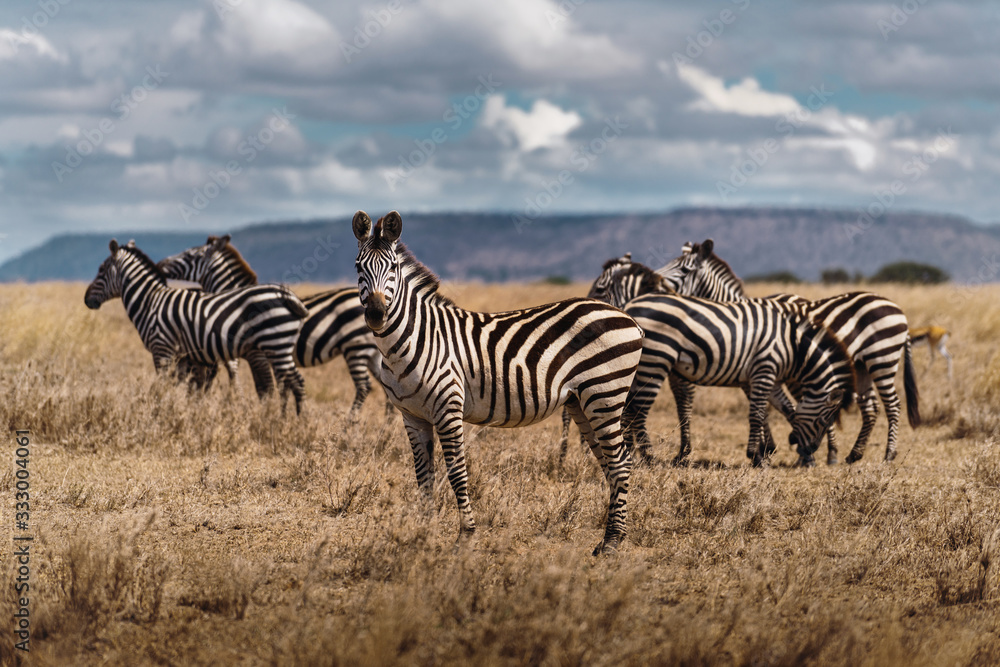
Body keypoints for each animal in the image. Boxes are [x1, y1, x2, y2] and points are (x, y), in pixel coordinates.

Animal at [84, 237, 306, 414]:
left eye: (101, 270)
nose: (86, 299)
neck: (150, 302)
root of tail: (286, 294)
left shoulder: (162, 349)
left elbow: (162, 387)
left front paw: (158, 414)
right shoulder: (183, 356)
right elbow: (183, 388)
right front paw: (180, 413)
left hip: (275, 344)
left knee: (295, 382)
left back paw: (295, 423)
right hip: (276, 347)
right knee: (286, 383)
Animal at [158, 236, 388, 422]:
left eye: (190, 255)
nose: (159, 263)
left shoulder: (258, 354)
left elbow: (264, 387)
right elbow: (280, 387)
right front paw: (281, 416)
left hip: (355, 348)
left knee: (364, 386)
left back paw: (349, 423)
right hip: (373, 352)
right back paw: (387, 426)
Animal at [356, 211, 644, 556]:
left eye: (394, 269)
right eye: (358, 267)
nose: (376, 313)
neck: (414, 339)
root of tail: (626, 317)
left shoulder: (448, 408)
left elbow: (457, 472)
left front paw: (465, 536)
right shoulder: (411, 416)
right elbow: (423, 475)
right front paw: (422, 535)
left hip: (605, 393)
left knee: (621, 462)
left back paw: (613, 540)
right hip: (583, 402)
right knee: (610, 463)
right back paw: (609, 538)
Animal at [624, 294, 852, 468]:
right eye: (823, 421)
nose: (809, 448)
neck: (793, 348)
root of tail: (631, 306)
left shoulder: (773, 381)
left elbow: (789, 410)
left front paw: (803, 457)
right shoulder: (764, 370)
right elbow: (757, 414)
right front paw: (757, 457)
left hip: (638, 366)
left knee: (627, 409)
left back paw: (631, 454)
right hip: (656, 360)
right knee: (639, 410)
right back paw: (649, 457)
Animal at [656, 240, 920, 464]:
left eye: (685, 270)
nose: (656, 282)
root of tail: (897, 308)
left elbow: (767, 409)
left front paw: (771, 451)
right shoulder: (754, 375)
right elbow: (768, 409)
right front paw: (769, 449)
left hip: (882, 359)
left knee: (893, 405)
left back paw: (888, 455)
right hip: (863, 366)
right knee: (871, 407)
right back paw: (854, 454)